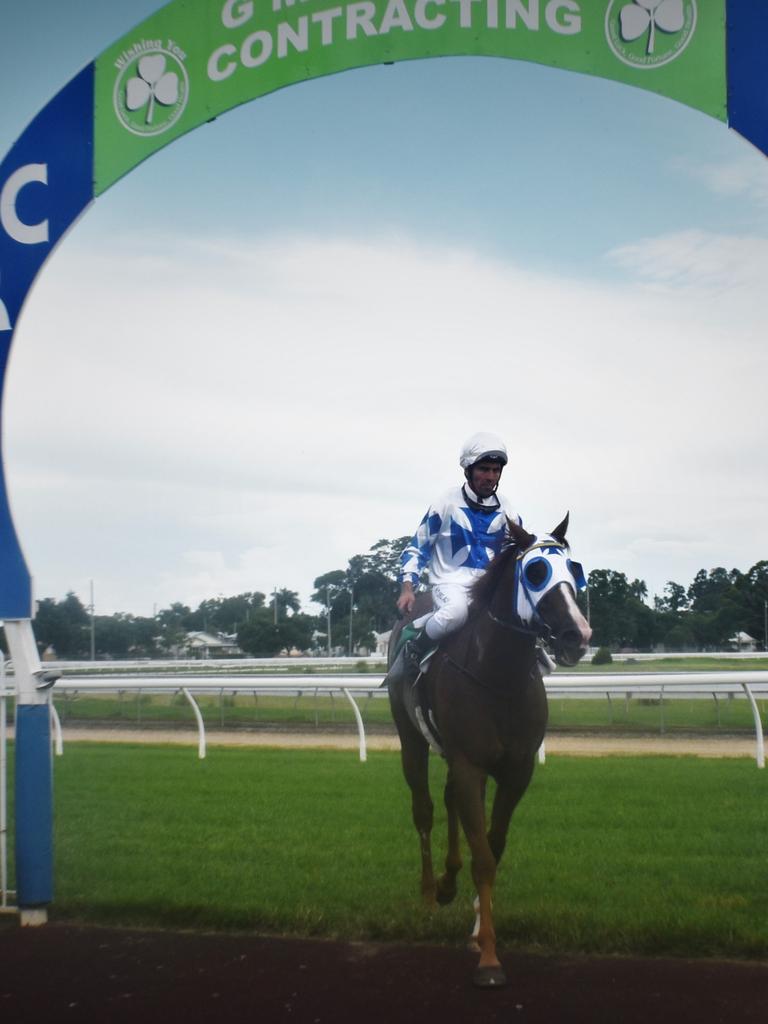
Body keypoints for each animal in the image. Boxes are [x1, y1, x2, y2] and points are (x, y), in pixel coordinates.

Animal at [387, 516, 593, 987]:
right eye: (535, 571)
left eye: (574, 569)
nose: (578, 634)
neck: (498, 677)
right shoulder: (470, 765)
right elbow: (482, 855)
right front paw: (489, 957)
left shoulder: (516, 770)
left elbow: (492, 846)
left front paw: (479, 928)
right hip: (412, 739)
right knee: (424, 809)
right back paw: (429, 893)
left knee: (449, 803)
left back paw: (447, 882)